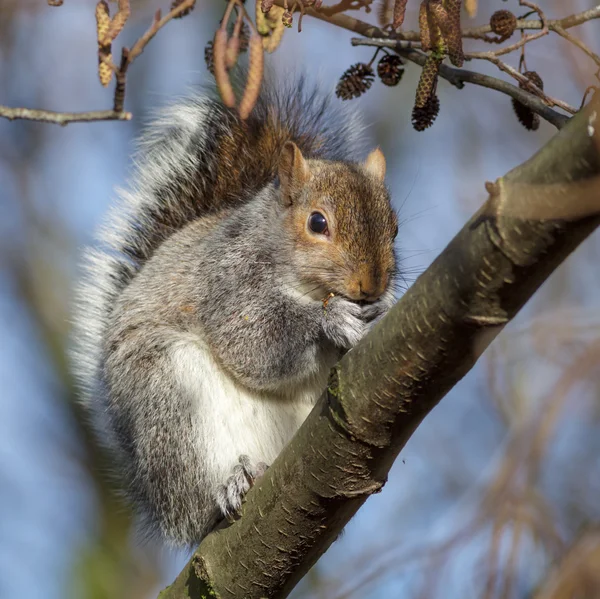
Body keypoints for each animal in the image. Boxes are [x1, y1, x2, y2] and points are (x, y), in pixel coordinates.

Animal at [71, 76, 398, 548]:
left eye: (395, 228)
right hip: (167, 403)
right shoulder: (226, 279)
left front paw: (381, 309)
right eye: (317, 223)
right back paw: (230, 484)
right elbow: (251, 341)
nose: (370, 286)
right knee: (197, 503)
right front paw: (330, 321)